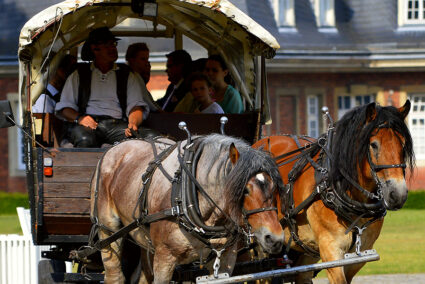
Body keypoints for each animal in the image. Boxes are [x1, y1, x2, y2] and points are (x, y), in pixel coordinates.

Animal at [90, 134, 284, 282]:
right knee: (114, 275)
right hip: (107, 231)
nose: (275, 238)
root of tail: (115, 147)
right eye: (244, 189)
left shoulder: (226, 259)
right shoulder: (164, 258)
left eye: (274, 187)